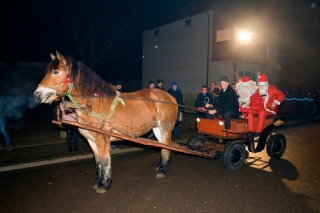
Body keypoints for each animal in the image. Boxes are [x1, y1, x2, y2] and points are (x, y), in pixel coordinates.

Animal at [34, 51, 179, 193]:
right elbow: (98, 161)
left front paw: (104, 184)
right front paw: (98, 181)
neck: (93, 103)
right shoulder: (91, 138)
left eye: (55, 71)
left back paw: (162, 170)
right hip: (157, 128)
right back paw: (160, 166)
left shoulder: (102, 137)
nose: (37, 95)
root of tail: (170, 97)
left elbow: (104, 161)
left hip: (165, 127)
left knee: (167, 146)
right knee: (163, 145)